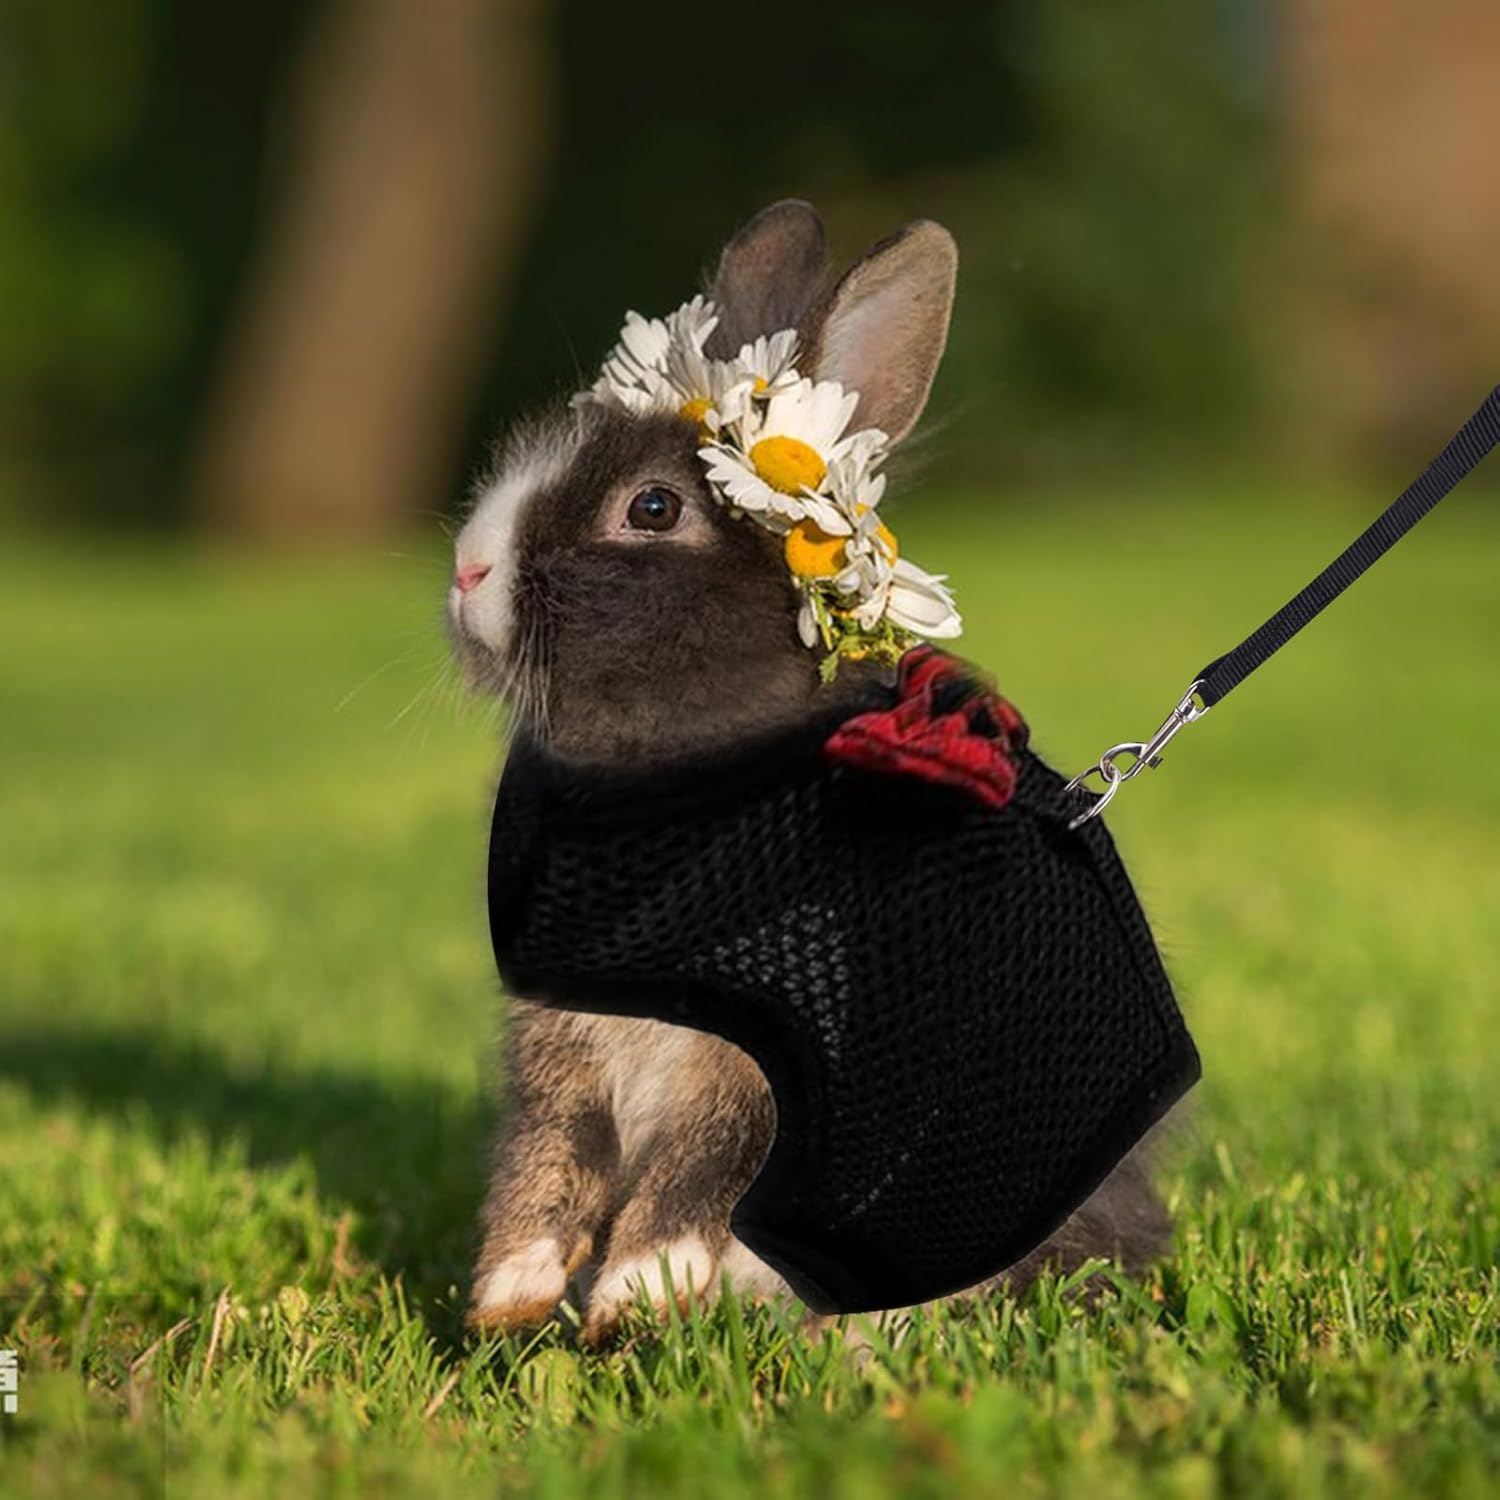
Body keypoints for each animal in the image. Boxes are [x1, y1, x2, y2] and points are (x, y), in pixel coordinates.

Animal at [448, 201, 1171, 1344]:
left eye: (652, 510)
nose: (467, 571)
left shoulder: (769, 1074)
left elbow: (697, 1173)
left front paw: (635, 1298)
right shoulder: (562, 1055)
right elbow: (546, 1160)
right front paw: (508, 1300)